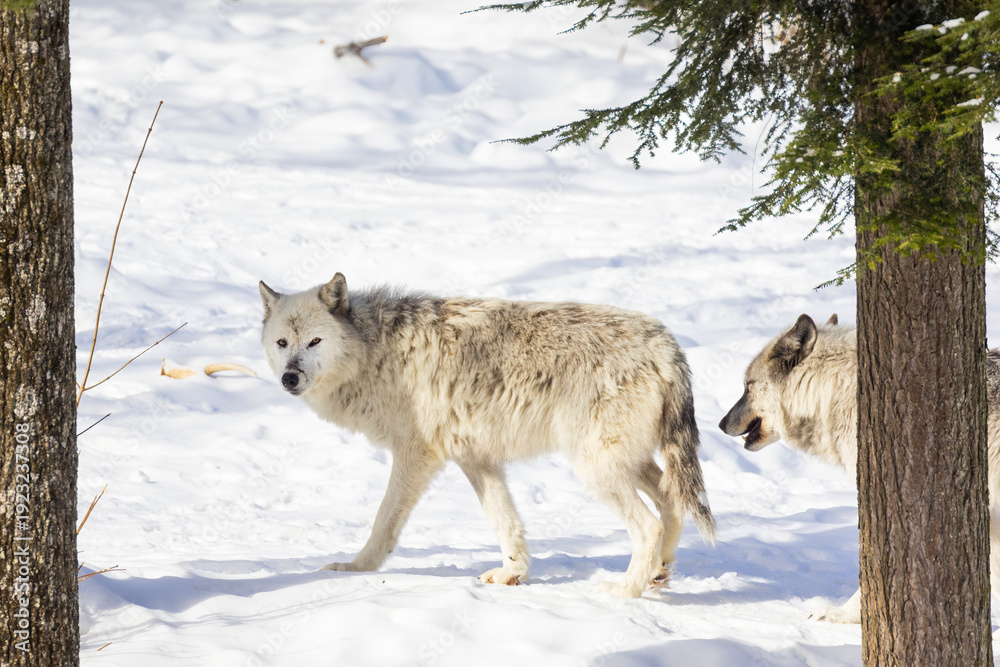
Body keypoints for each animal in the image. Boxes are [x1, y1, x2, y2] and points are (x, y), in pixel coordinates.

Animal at [259, 273, 716, 597]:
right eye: (282, 342)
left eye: (314, 341)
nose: (289, 378)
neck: (376, 352)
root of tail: (666, 344)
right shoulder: (476, 458)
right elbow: (505, 521)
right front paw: (513, 574)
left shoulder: (415, 455)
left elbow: (383, 522)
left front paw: (355, 570)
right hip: (625, 462)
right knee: (671, 500)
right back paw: (659, 573)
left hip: (597, 468)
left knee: (648, 525)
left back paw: (624, 591)